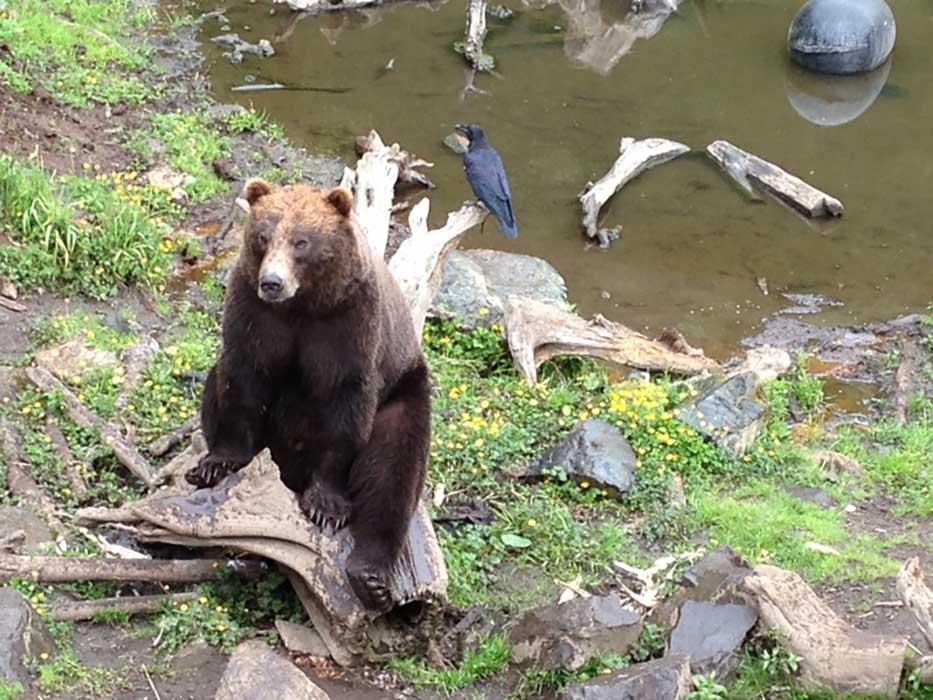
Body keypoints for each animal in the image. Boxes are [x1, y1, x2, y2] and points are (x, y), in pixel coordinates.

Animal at [187, 179, 434, 612]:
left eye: (302, 241)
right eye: (263, 236)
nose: (272, 282)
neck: (302, 304)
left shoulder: (349, 324)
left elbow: (345, 408)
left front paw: (326, 505)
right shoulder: (256, 316)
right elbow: (241, 382)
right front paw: (217, 463)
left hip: (405, 390)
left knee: (395, 467)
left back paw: (370, 574)